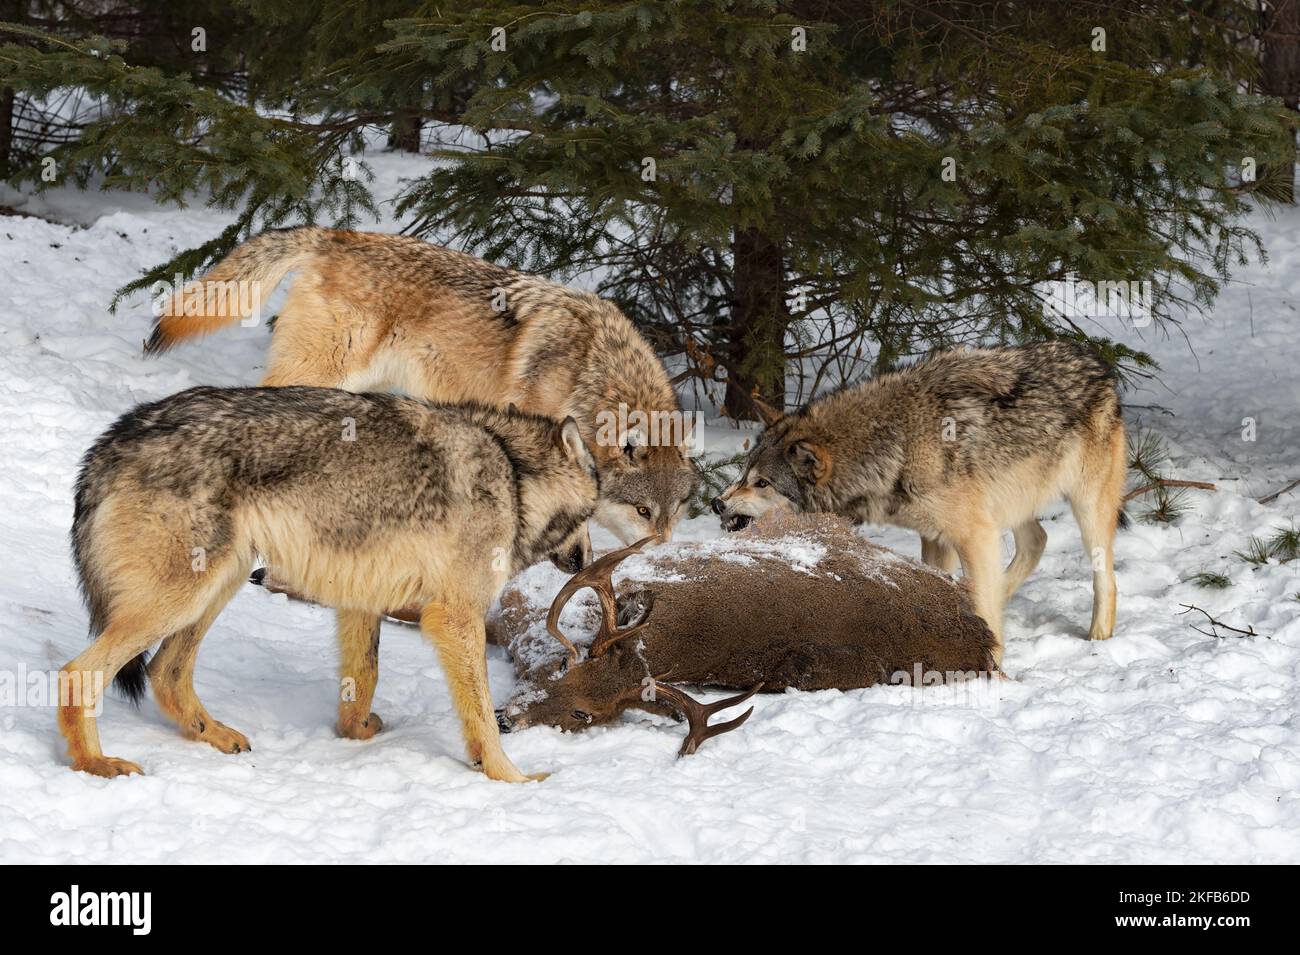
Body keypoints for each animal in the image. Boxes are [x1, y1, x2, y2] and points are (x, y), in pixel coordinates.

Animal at [60, 386, 599, 782]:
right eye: (593, 514)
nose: (585, 560)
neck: (515, 476)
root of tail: (111, 440)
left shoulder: (362, 598)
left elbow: (364, 678)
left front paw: (357, 732)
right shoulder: (455, 615)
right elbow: (484, 716)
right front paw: (511, 777)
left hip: (218, 583)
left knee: (166, 673)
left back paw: (215, 734)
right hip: (181, 597)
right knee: (76, 673)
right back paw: (97, 764)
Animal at [145, 227, 698, 544]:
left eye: (674, 511)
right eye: (642, 510)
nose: (658, 550)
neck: (592, 372)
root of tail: (335, 234)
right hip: (323, 369)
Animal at [711, 342, 1126, 664]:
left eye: (762, 484)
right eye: (743, 474)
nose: (716, 503)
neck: (895, 446)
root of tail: (1096, 362)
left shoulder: (973, 536)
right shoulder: (938, 537)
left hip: (1085, 509)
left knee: (1104, 578)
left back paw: (1098, 636)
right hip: (1008, 506)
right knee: (1036, 541)